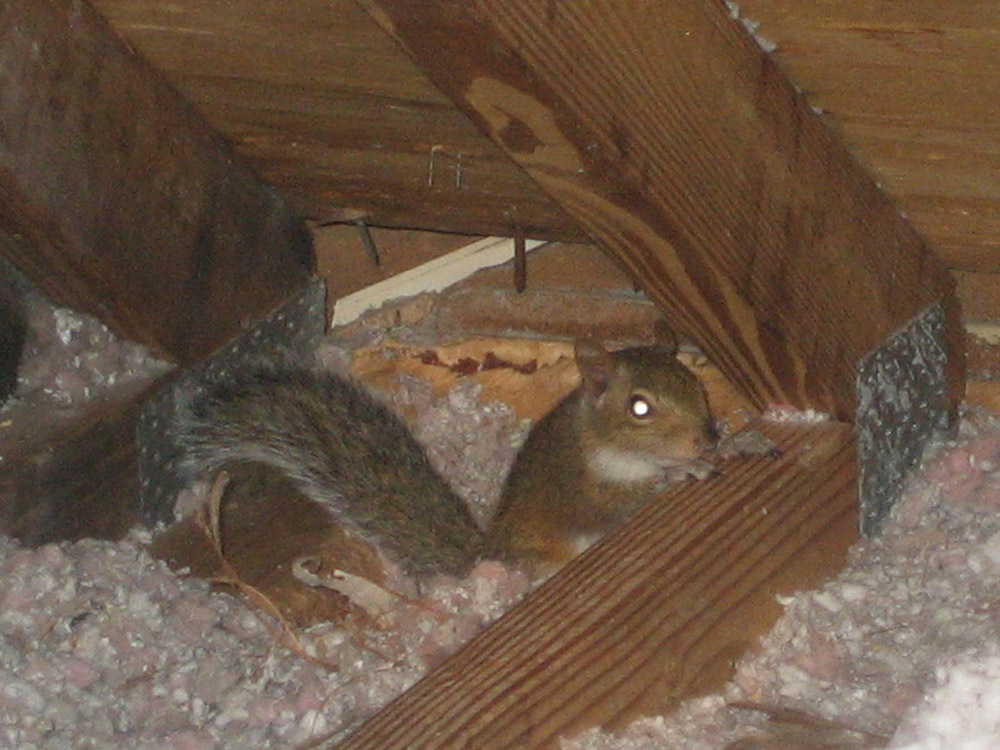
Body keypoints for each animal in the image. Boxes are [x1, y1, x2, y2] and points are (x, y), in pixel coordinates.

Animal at [168, 334, 716, 580]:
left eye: (696, 383)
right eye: (639, 407)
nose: (706, 437)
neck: (604, 442)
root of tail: (489, 553)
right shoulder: (582, 489)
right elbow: (613, 505)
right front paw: (681, 471)